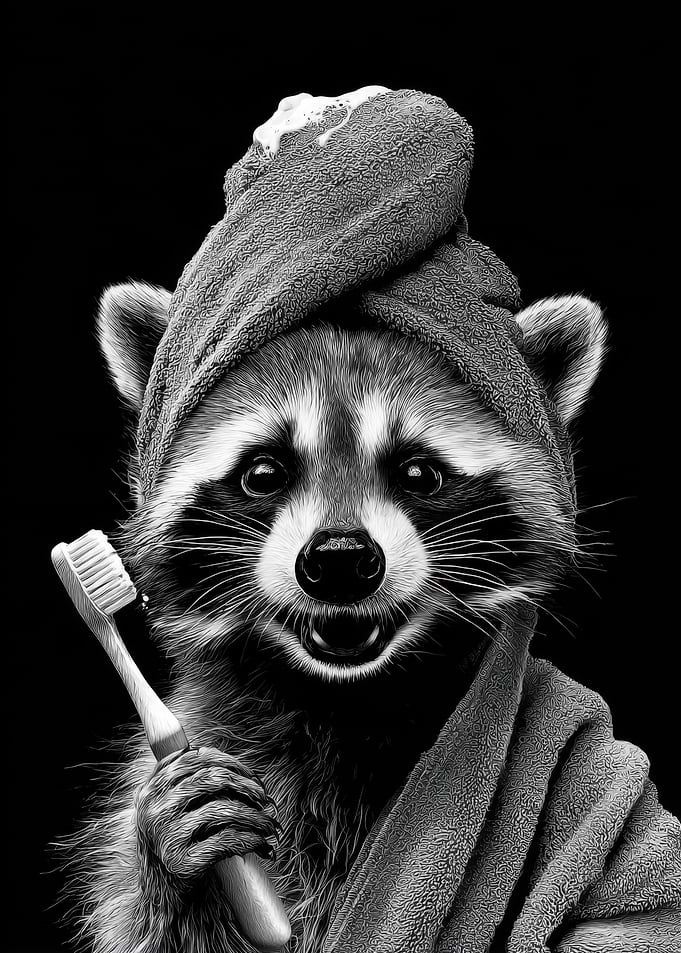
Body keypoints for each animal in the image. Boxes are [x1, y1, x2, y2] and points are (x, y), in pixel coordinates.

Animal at [63, 283, 607, 953]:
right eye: (263, 472)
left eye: (419, 472)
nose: (341, 559)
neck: (346, 699)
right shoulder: (209, 734)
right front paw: (171, 863)